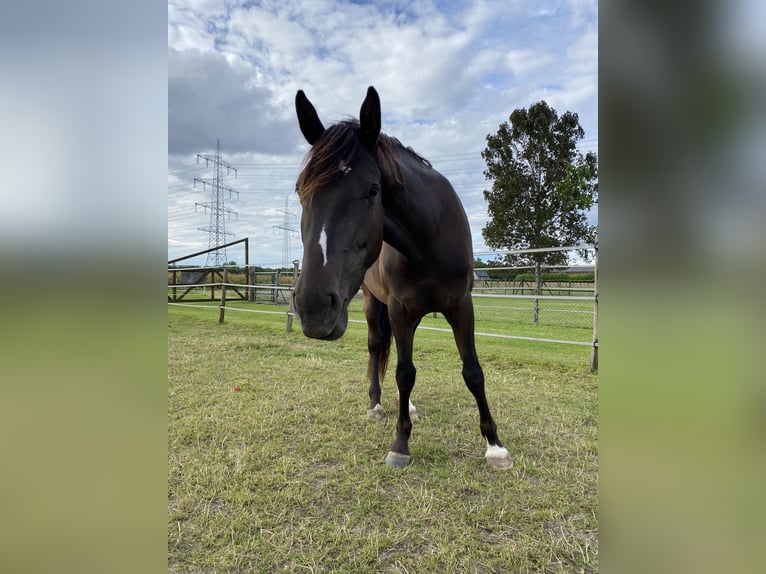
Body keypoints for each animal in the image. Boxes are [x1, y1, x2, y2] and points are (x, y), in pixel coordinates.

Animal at [291, 86, 512, 470]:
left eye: (373, 190)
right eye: (301, 191)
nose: (313, 308)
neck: (430, 239)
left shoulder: (461, 306)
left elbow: (472, 371)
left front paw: (494, 445)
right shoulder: (399, 309)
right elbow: (404, 372)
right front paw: (400, 443)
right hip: (374, 304)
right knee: (377, 347)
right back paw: (378, 404)